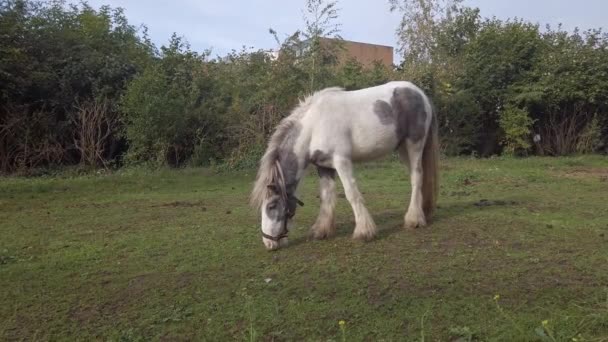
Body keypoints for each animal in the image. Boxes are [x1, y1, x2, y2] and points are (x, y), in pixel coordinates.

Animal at [249, 81, 440, 250]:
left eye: (271, 206)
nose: (268, 243)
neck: (314, 126)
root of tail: (420, 94)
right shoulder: (324, 167)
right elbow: (326, 196)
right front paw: (322, 230)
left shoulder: (341, 161)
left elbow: (351, 194)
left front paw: (364, 232)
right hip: (402, 149)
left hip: (414, 144)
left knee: (417, 177)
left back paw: (414, 220)